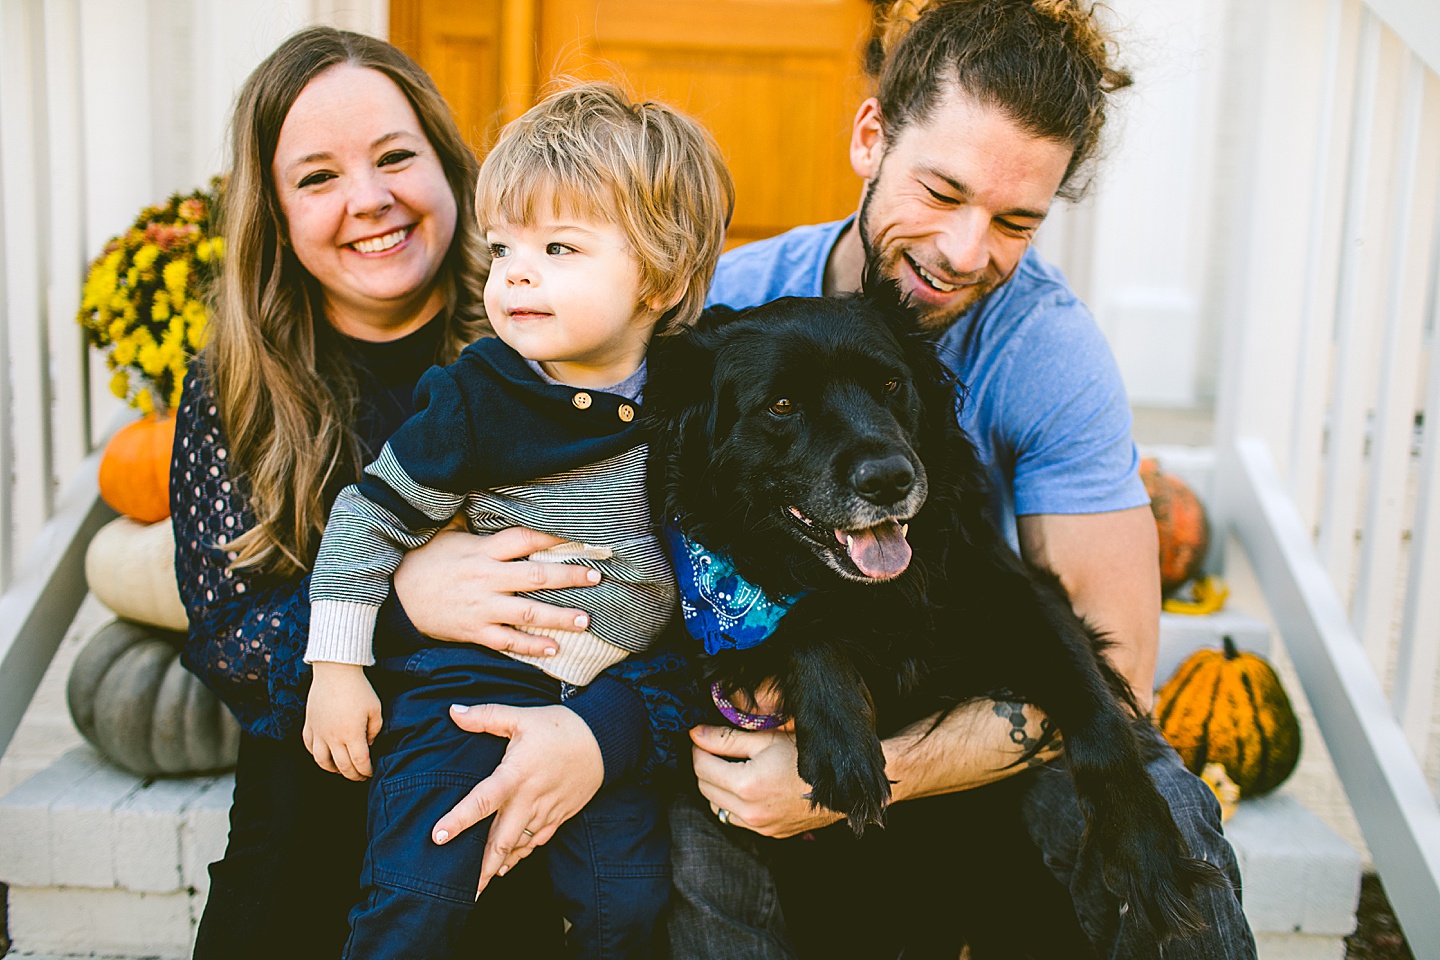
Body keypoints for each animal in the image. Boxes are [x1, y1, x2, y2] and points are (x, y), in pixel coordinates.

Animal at [650, 290, 1226, 938]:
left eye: (891, 385)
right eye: (781, 405)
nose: (889, 479)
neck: (881, 594)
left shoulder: (1026, 594)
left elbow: (1094, 704)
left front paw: (1145, 846)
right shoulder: (711, 622)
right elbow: (799, 622)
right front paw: (844, 744)